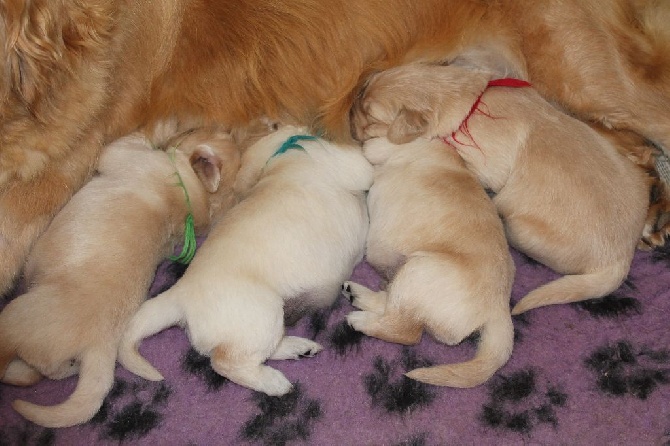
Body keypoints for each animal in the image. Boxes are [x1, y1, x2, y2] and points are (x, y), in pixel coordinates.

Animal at [0, 126, 240, 428]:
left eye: (191, 130)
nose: (180, 130)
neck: (192, 195)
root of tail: (99, 347)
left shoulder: (125, 157)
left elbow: (120, 146)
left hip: (16, 316)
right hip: (51, 358)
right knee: (34, 374)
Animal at [118, 124, 376, 394]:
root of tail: (179, 295)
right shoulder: (347, 162)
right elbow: (362, 162)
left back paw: (297, 348)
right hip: (262, 314)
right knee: (225, 361)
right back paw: (274, 382)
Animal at [344, 135, 516, 386]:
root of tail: (499, 307)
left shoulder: (379, 149)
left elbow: (370, 148)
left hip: (417, 271)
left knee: (406, 331)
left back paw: (361, 320)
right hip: (409, 278)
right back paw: (359, 295)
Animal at [352, 63, 652, 314]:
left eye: (370, 115)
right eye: (363, 91)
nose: (349, 113)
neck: (468, 101)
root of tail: (622, 257)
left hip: (521, 228)